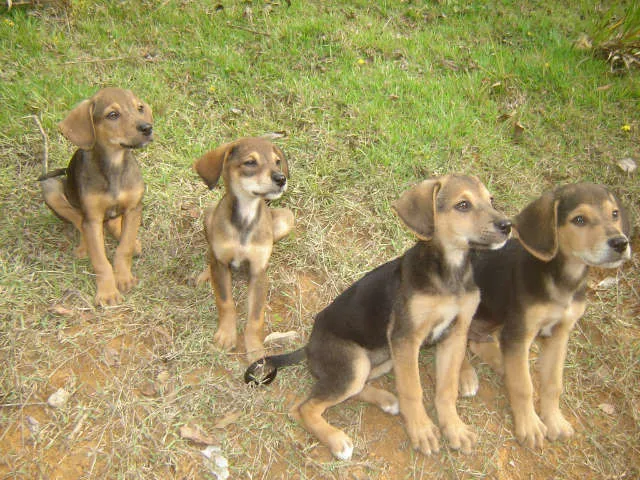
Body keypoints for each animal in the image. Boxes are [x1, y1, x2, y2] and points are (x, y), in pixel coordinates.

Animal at [40, 88, 154, 306]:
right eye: (113, 115)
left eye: (139, 108)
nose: (147, 128)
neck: (114, 165)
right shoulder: (92, 218)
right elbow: (101, 261)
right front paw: (107, 293)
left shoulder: (134, 208)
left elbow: (124, 248)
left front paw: (124, 277)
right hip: (50, 189)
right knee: (79, 221)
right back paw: (84, 246)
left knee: (114, 225)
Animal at [194, 137, 294, 362]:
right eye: (250, 162)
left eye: (277, 162)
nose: (281, 178)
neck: (245, 219)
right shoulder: (222, 263)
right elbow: (225, 302)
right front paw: (226, 334)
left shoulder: (258, 272)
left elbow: (255, 317)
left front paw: (255, 349)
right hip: (209, 215)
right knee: (210, 256)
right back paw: (205, 274)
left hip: (287, 219)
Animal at [458, 184, 632, 450]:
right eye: (579, 220)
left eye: (614, 214)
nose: (621, 243)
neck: (563, 281)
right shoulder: (520, 331)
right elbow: (524, 386)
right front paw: (529, 425)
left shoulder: (559, 334)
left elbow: (553, 384)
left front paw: (554, 421)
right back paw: (467, 374)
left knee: (480, 342)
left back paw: (501, 362)